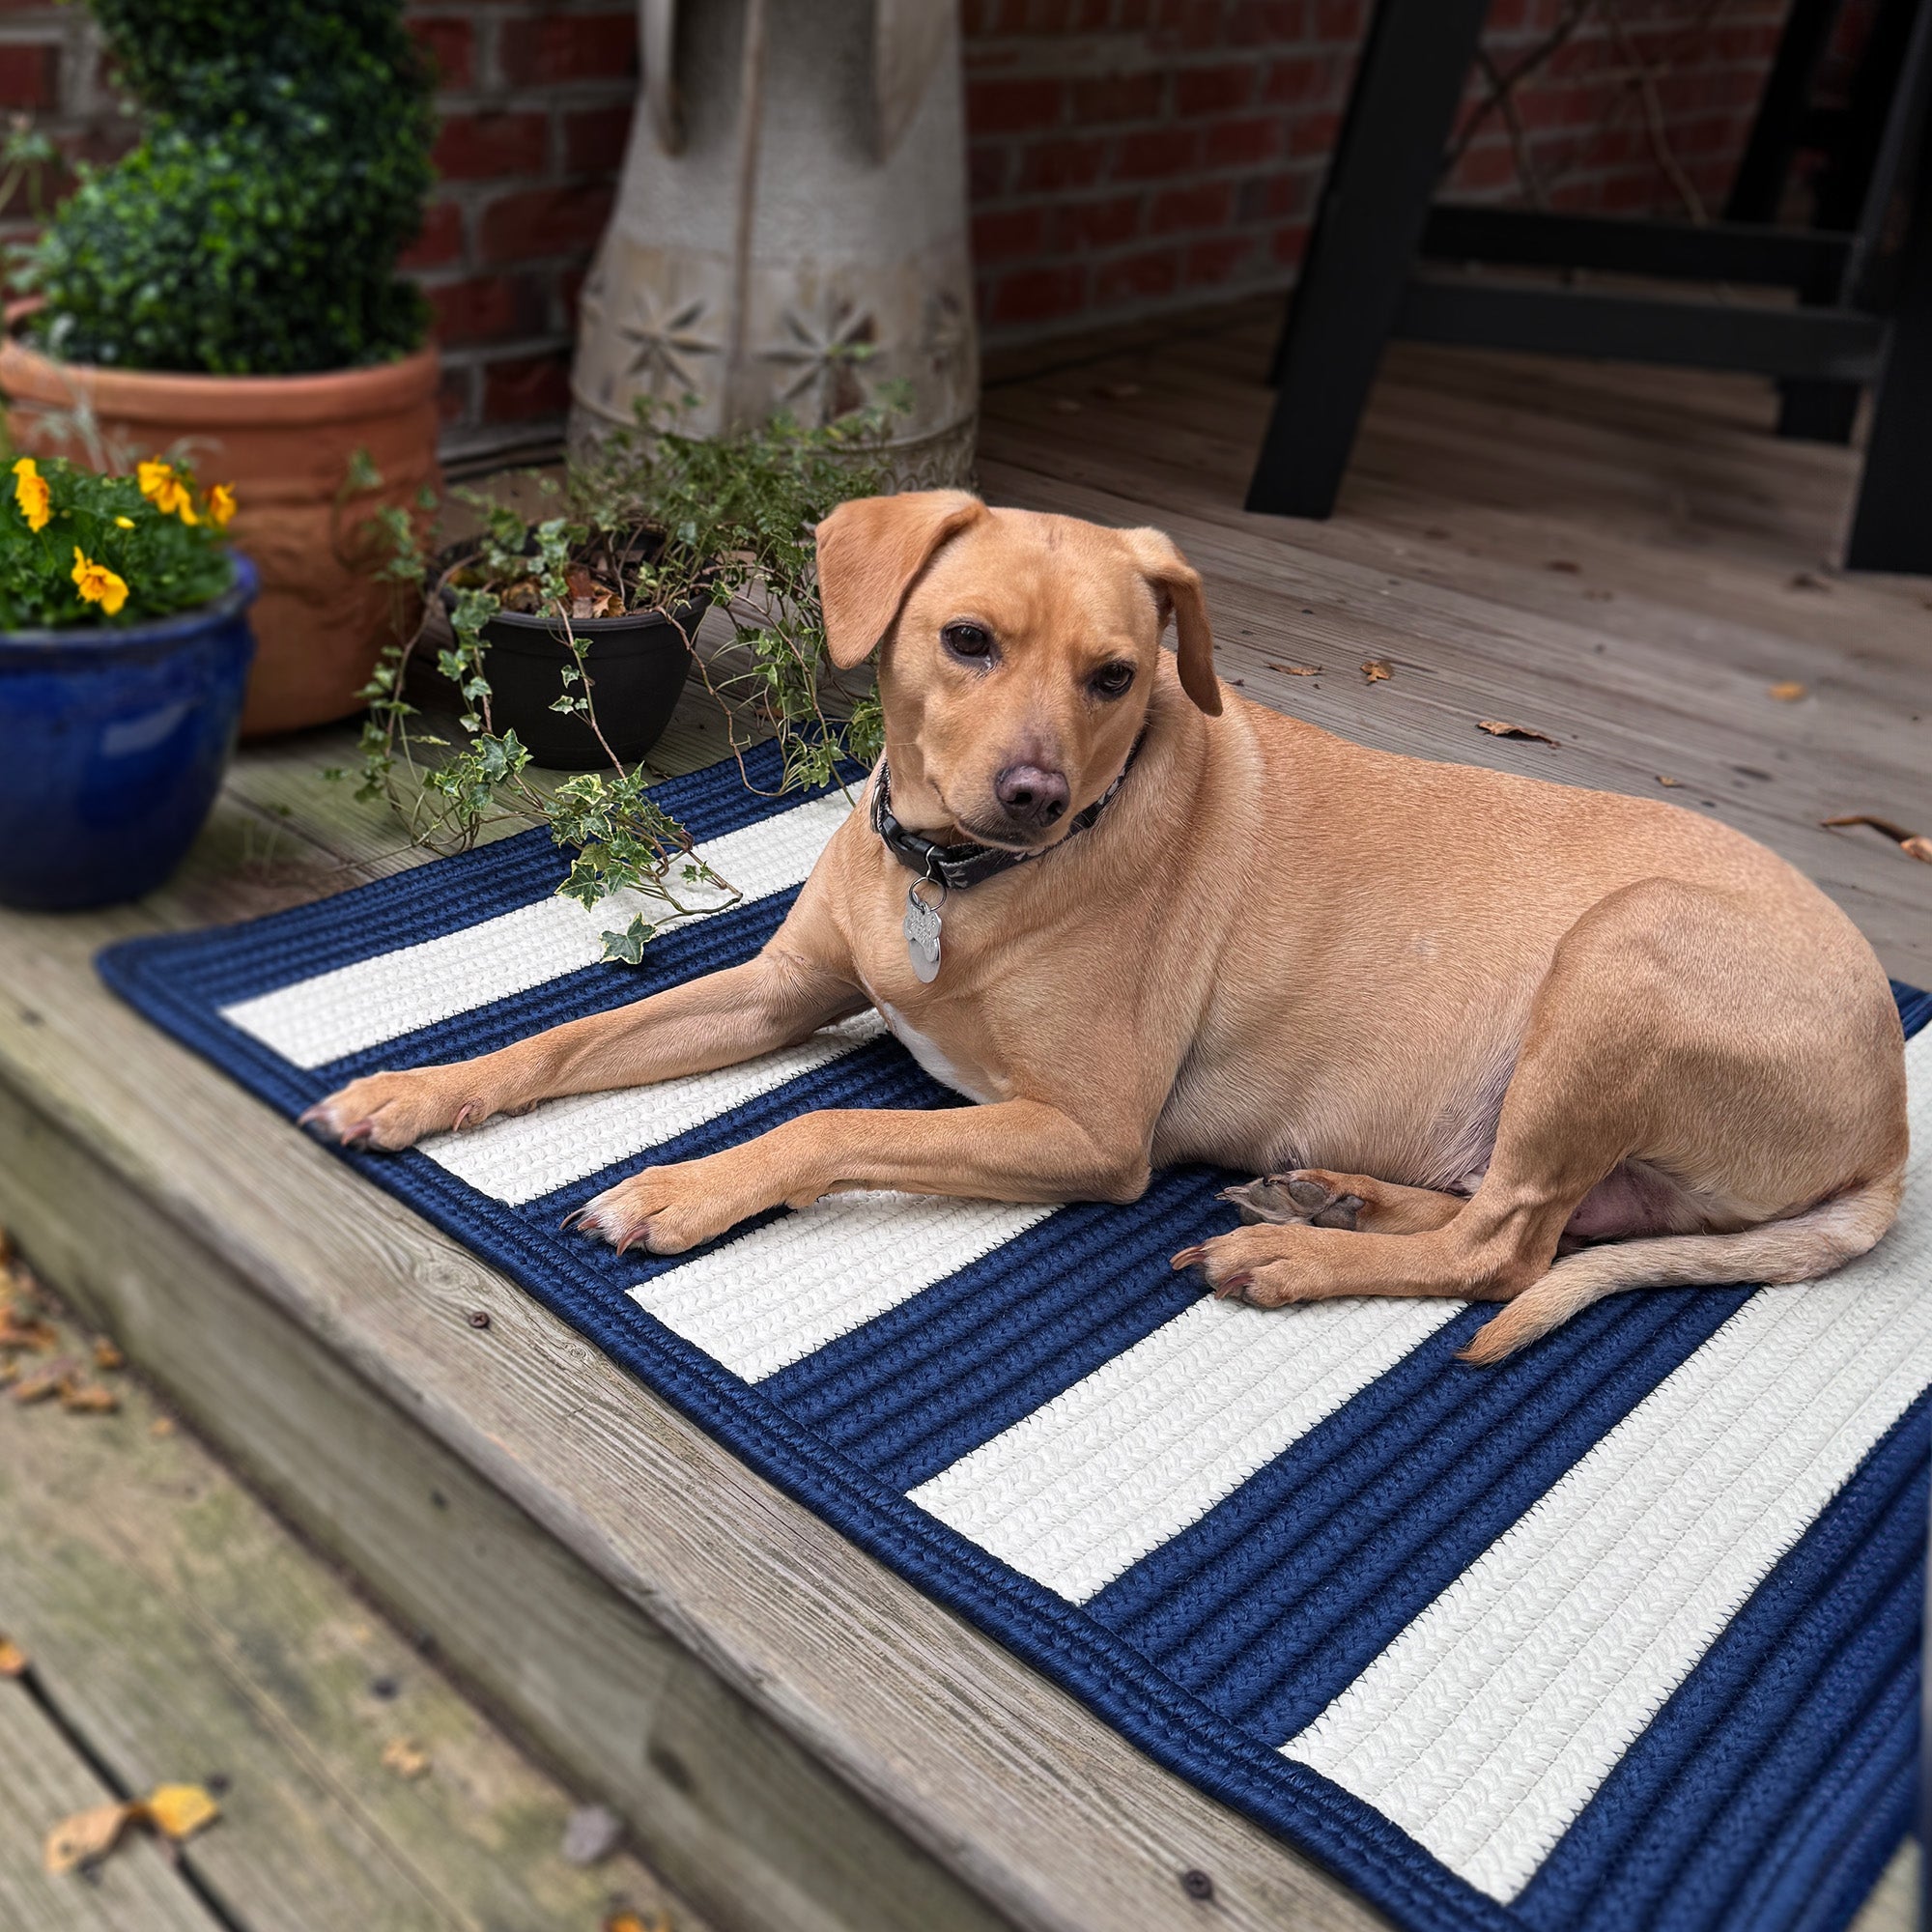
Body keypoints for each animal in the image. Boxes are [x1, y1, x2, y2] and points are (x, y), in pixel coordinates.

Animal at [309, 495, 1909, 1360]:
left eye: (1118, 676)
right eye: (965, 640)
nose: (1030, 795)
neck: (956, 882)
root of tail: (1893, 1117)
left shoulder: (1085, 1132)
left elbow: (822, 1128)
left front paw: (688, 1186)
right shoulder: (774, 992)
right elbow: (565, 1037)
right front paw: (415, 1088)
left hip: (1626, 957)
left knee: (1509, 1252)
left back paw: (1298, 1260)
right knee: (1532, 1217)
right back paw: (1329, 1201)